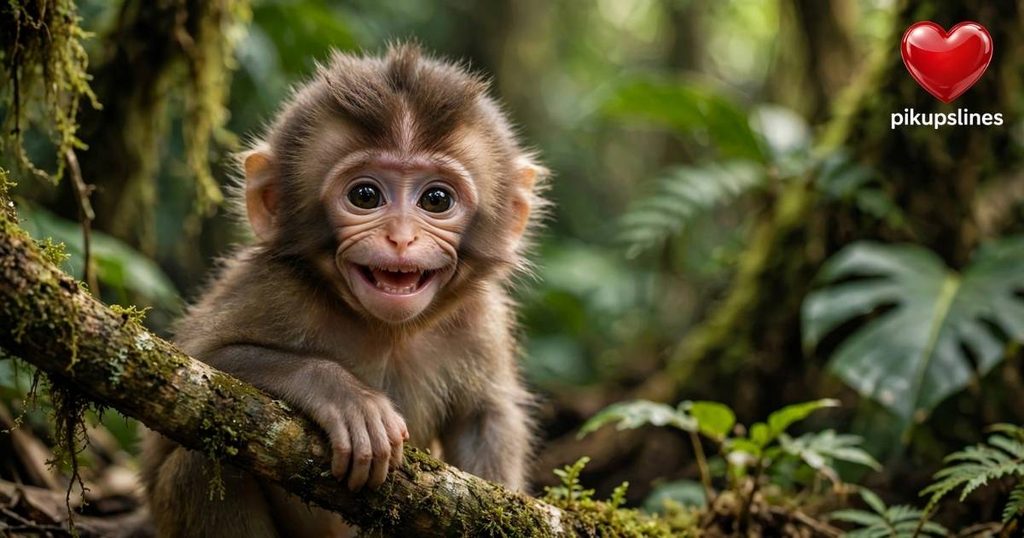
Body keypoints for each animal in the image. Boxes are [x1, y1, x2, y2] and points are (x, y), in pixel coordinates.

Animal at [140, 43, 549, 538]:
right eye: (365, 196)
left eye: (436, 200)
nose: (401, 238)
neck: (387, 331)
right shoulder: (273, 289)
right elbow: (194, 367)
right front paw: (345, 397)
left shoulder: (481, 318)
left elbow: (483, 415)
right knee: (206, 465)